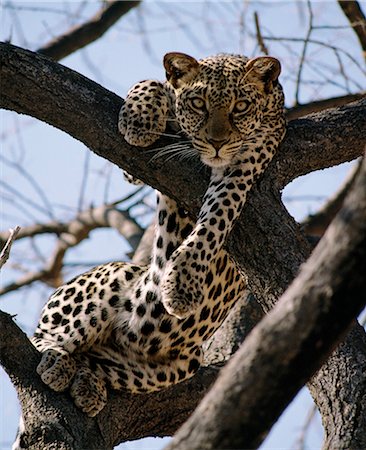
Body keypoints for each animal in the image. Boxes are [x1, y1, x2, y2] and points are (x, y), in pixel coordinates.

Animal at [29, 51, 286, 418]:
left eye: (240, 106)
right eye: (198, 103)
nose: (217, 143)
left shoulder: (247, 160)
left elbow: (217, 216)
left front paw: (182, 284)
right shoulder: (136, 168)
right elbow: (152, 82)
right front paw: (139, 121)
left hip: (178, 363)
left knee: (95, 359)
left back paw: (87, 383)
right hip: (114, 277)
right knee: (43, 335)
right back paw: (57, 359)